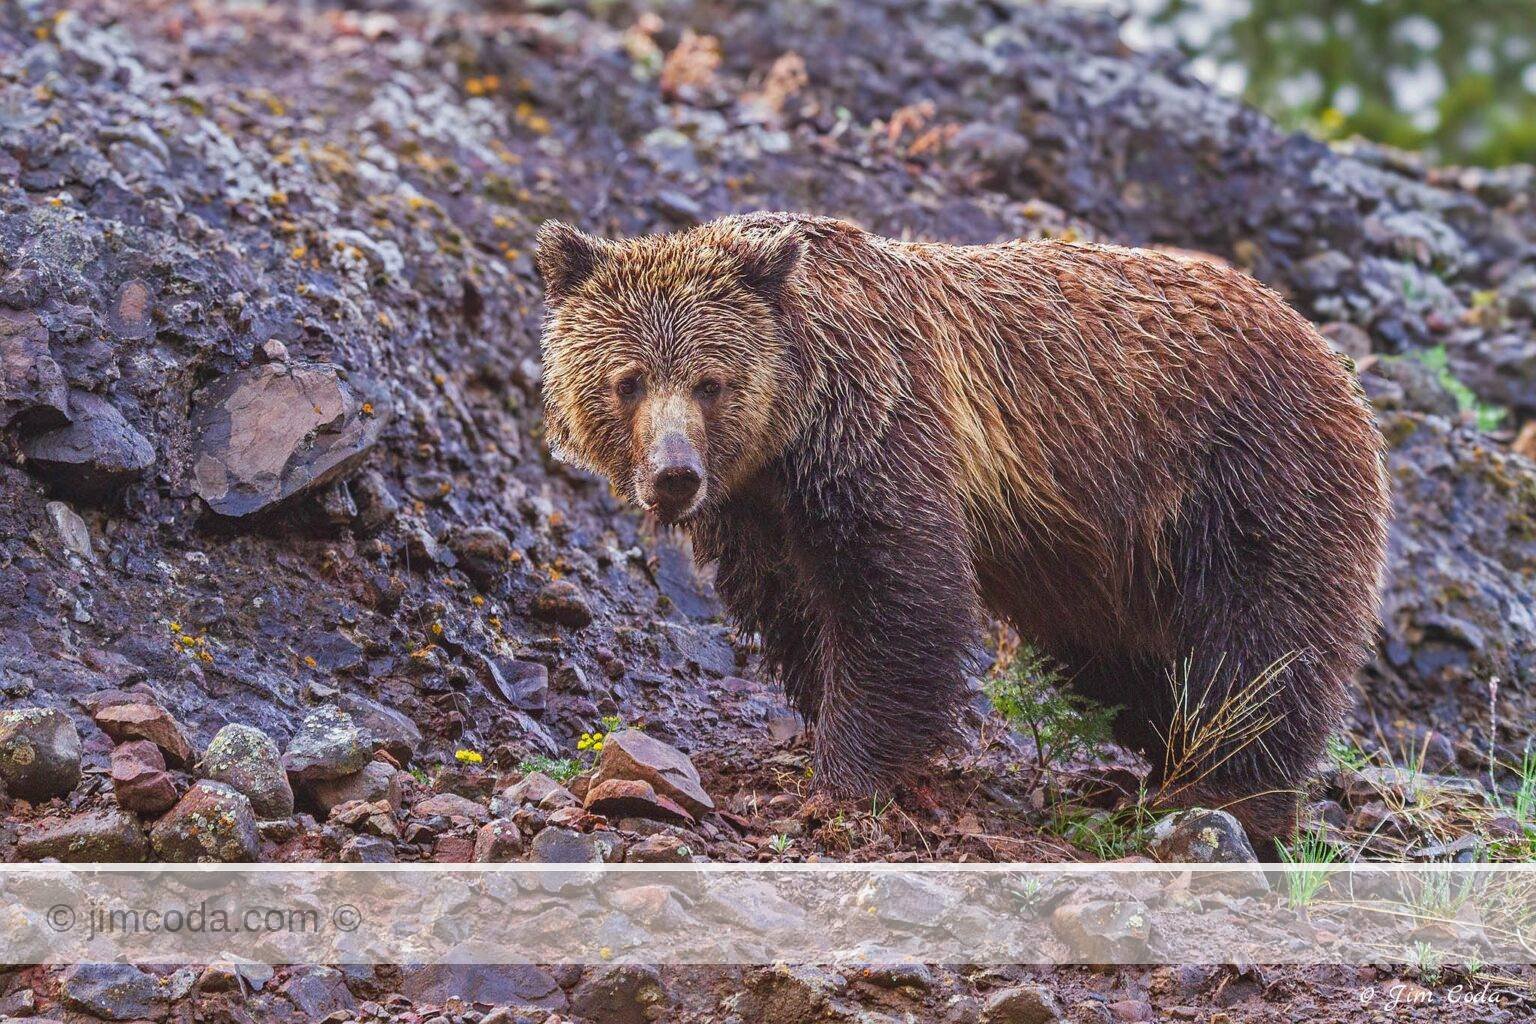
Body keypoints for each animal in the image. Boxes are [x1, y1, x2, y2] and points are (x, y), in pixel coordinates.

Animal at [535, 211, 1390, 847]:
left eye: (710, 382)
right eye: (628, 379)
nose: (674, 474)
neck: (792, 432)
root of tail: (1324, 347)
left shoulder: (884, 430)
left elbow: (899, 592)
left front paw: (848, 776)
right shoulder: (757, 511)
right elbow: (796, 610)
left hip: (1246, 475)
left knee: (1262, 644)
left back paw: (1226, 796)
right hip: (1105, 566)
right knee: (1131, 659)